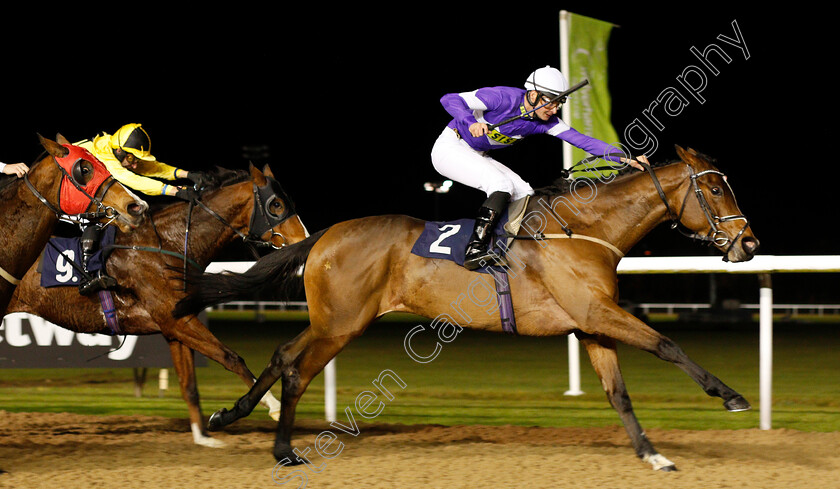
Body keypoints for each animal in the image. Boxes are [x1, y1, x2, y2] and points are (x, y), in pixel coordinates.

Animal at [7, 163, 308, 446]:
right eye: (276, 205)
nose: (304, 241)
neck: (167, 244)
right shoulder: (176, 320)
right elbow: (231, 358)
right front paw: (274, 407)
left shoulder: (176, 327)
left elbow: (189, 385)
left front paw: (202, 437)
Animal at [172, 145, 760, 468]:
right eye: (715, 191)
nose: (749, 243)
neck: (585, 230)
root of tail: (323, 236)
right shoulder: (598, 315)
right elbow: (667, 344)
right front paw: (730, 396)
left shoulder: (591, 326)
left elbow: (619, 394)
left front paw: (653, 454)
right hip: (342, 324)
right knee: (297, 371)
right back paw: (283, 450)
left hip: (332, 320)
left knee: (280, 354)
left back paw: (230, 414)